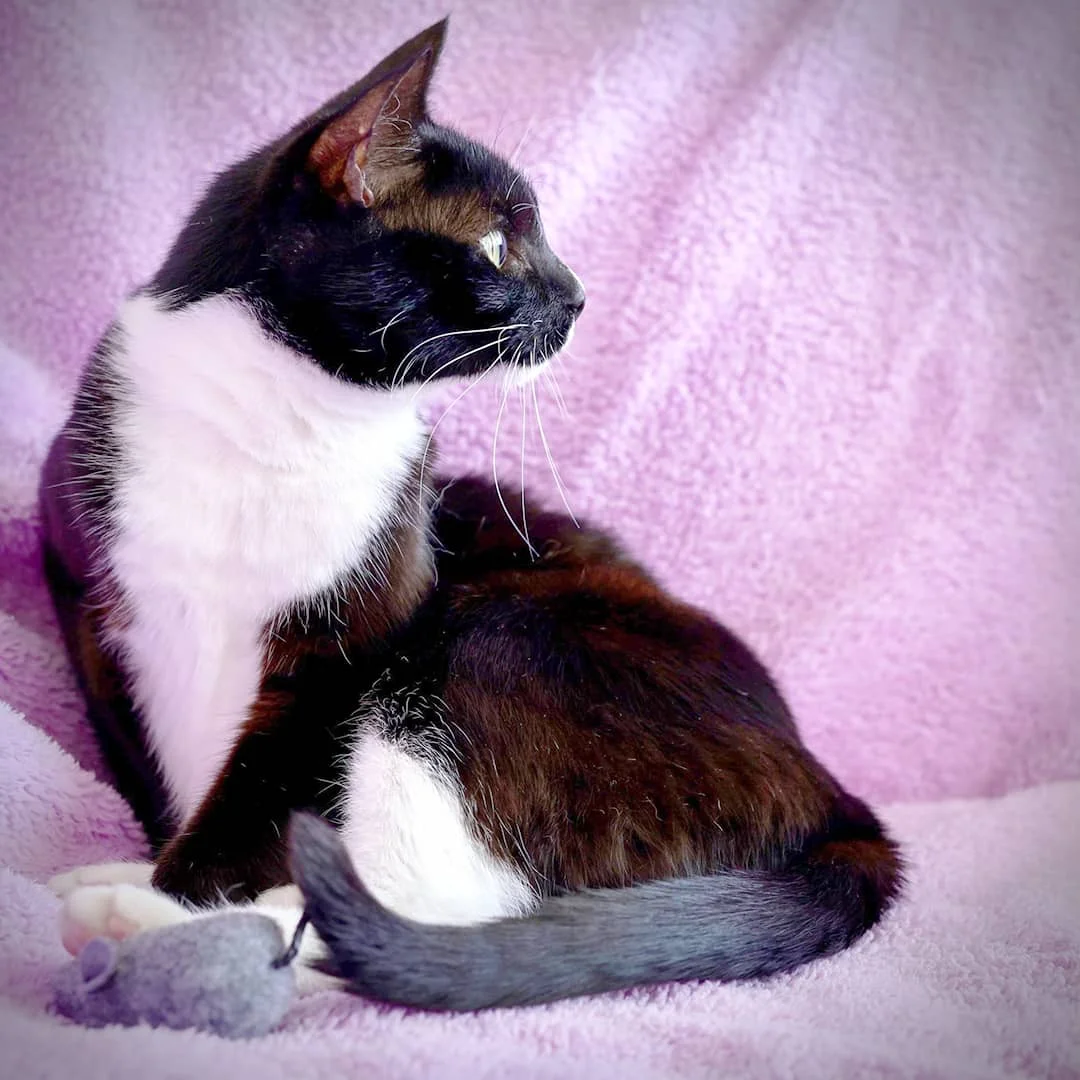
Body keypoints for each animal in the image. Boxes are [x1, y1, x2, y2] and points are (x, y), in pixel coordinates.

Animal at [42, 19, 898, 1010]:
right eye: (495, 243)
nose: (580, 296)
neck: (277, 425)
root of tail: (836, 799)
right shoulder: (88, 603)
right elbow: (154, 770)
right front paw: (161, 863)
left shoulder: (353, 644)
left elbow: (262, 789)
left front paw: (177, 897)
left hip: (491, 640)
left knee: (428, 907)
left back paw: (140, 923)